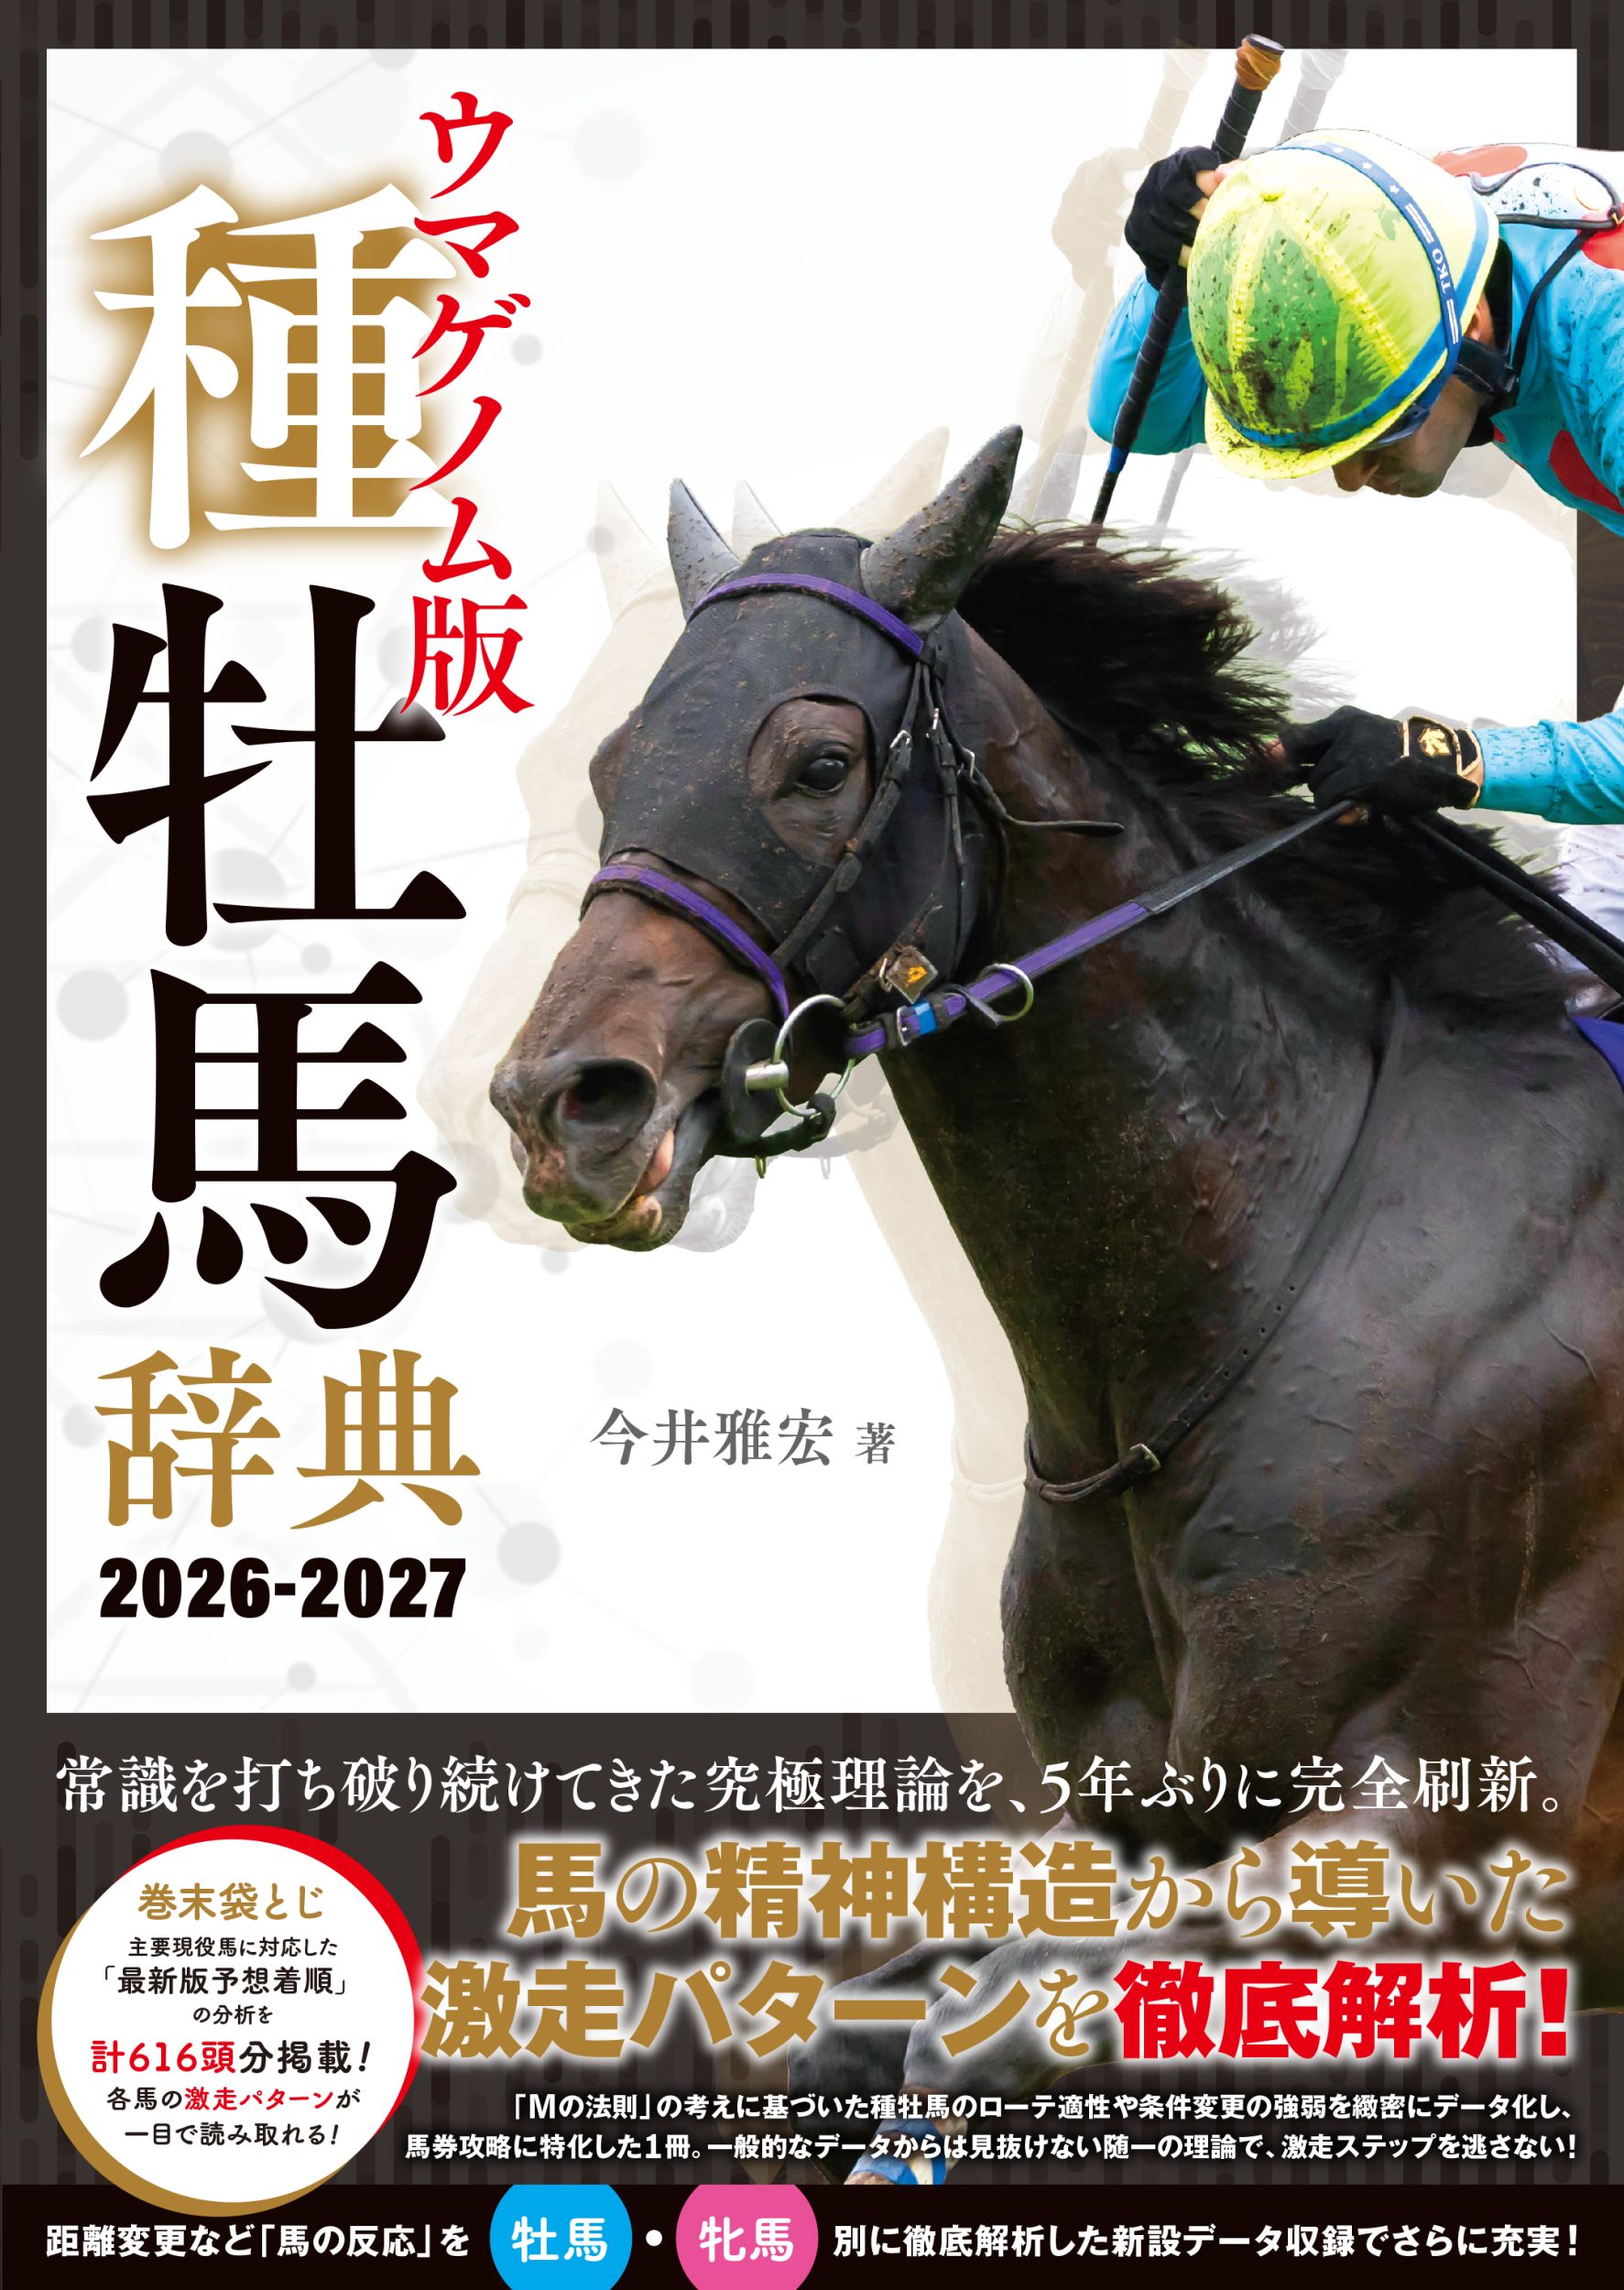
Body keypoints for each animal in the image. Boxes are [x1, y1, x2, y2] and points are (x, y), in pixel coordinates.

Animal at [488, 425, 1624, 2142]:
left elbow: (987, 2046)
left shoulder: (1456, 1832)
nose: (565, 1106)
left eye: (816, 765)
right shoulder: (1137, 1822)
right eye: (614, 761)